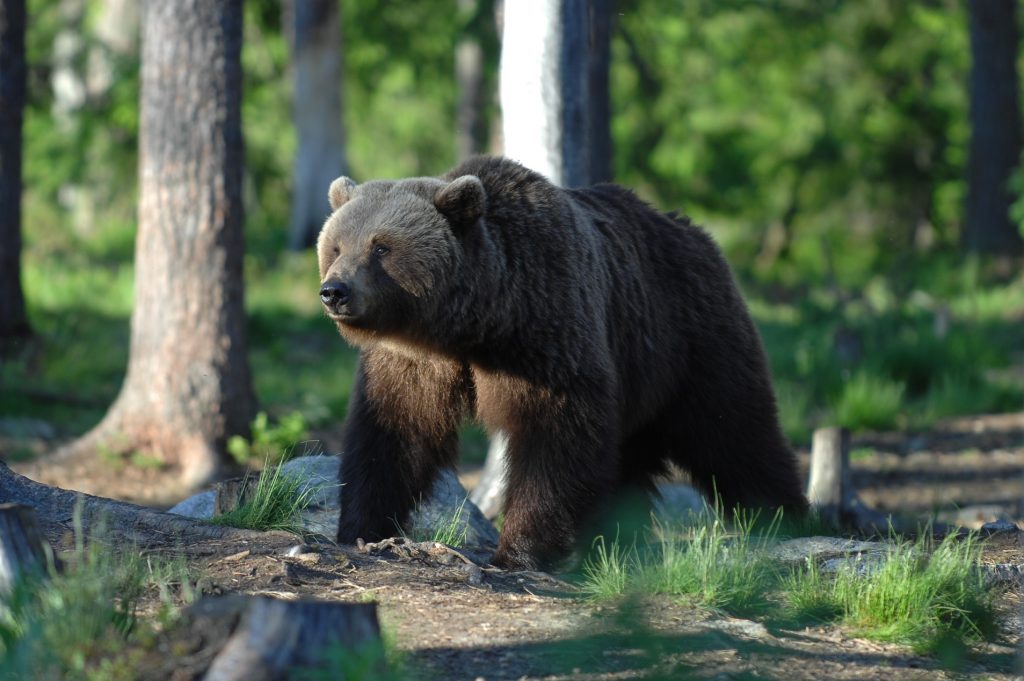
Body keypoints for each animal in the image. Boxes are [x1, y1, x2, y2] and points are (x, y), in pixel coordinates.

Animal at [317, 156, 807, 570]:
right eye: (337, 246)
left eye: (381, 247)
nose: (334, 291)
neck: (471, 323)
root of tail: (694, 231)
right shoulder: (416, 364)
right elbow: (393, 432)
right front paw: (361, 527)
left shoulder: (543, 330)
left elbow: (553, 437)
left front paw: (519, 552)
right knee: (632, 459)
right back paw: (616, 540)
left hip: (691, 335)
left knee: (734, 431)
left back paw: (785, 517)